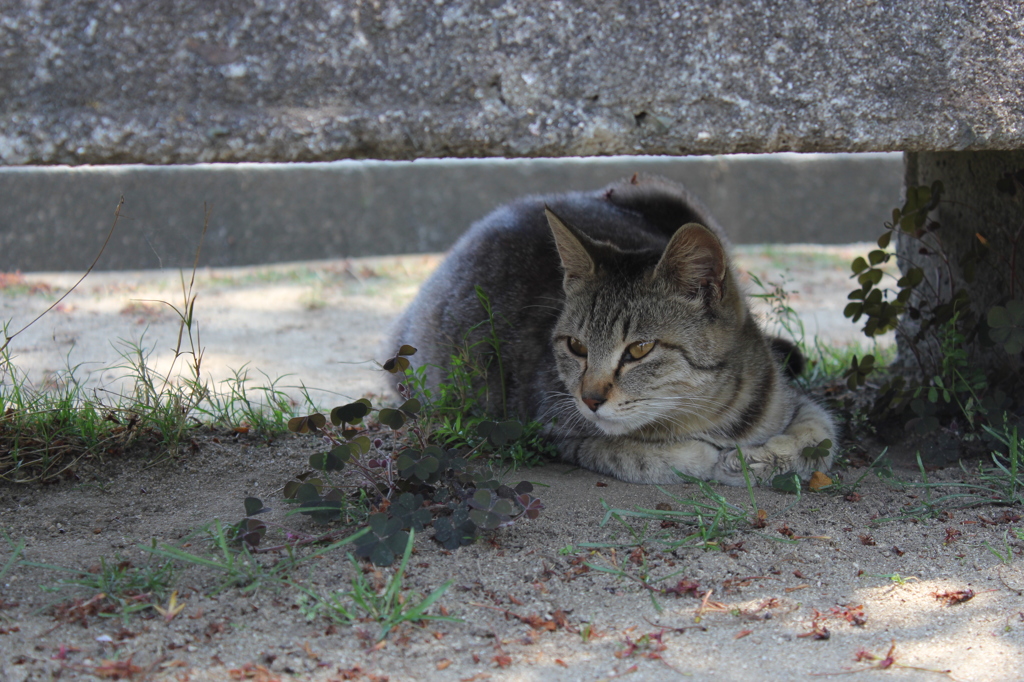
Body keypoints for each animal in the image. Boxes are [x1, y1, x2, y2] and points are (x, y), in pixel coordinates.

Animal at [387, 175, 835, 483]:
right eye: (576, 346)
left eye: (639, 349)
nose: (590, 399)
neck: (707, 414)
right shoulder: (555, 428)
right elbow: (636, 452)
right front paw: (708, 457)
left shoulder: (792, 400)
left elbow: (819, 434)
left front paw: (764, 456)